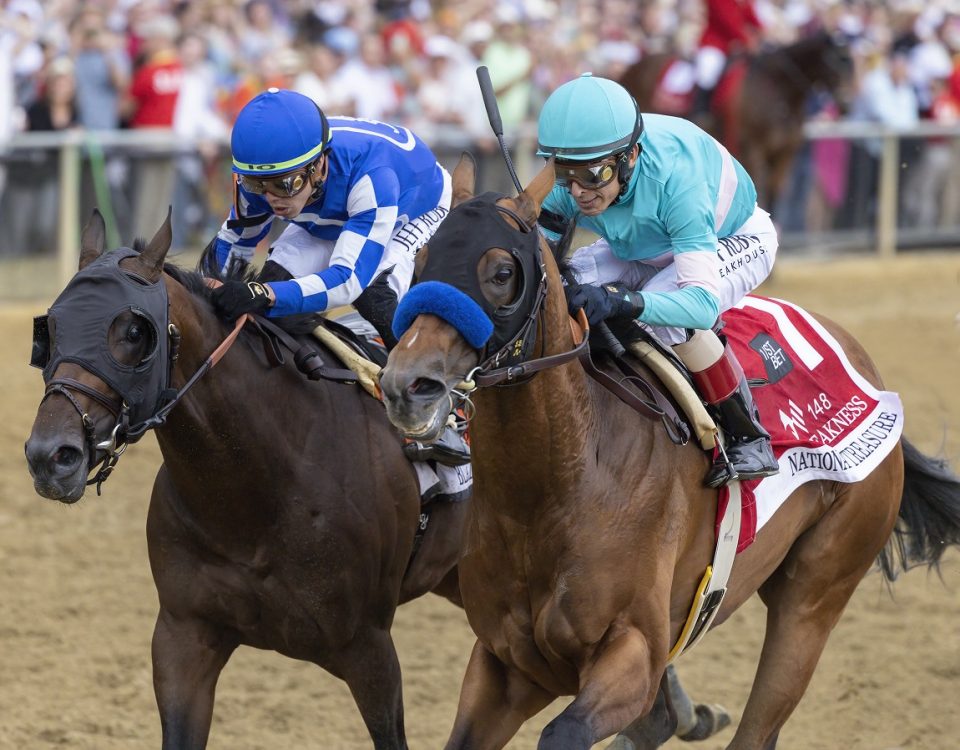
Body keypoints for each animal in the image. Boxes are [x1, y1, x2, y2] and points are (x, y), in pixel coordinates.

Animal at [376, 154, 960, 750]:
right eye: (419, 261)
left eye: (500, 273)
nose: (406, 385)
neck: (558, 486)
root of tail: (868, 368)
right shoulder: (506, 664)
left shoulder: (633, 650)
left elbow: (565, 732)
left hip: (815, 596)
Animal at [620, 29, 852, 209]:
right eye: (835, 64)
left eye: (851, 64)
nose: (846, 105)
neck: (777, 89)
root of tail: (635, 66)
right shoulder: (753, 150)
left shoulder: (785, 154)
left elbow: (774, 192)